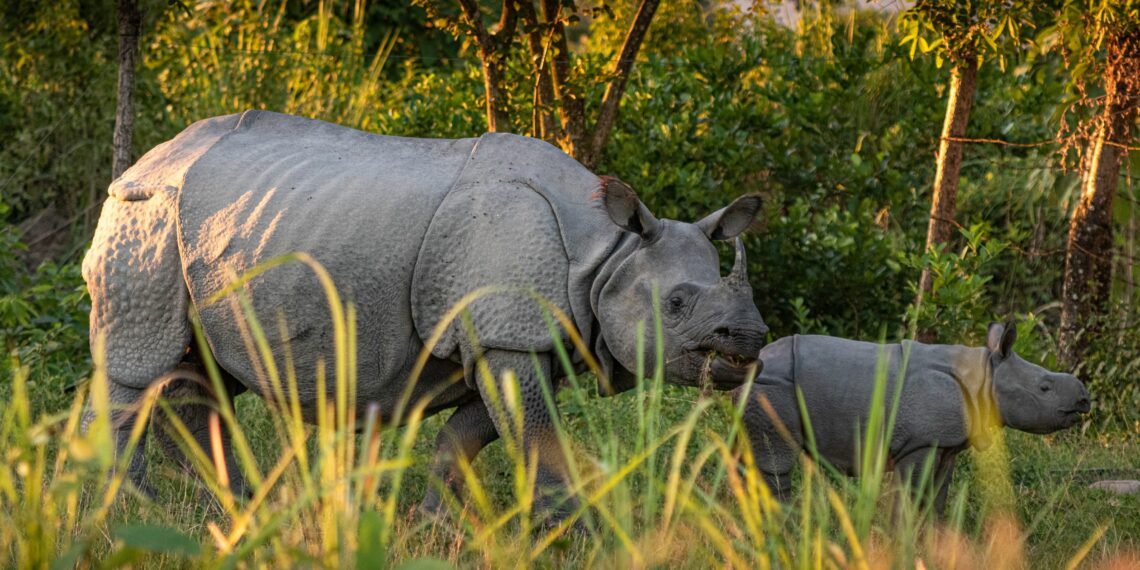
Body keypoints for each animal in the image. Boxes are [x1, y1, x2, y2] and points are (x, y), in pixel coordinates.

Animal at [83, 110, 768, 523]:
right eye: (675, 305)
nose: (751, 339)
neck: (606, 255)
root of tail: (143, 161)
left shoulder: (517, 340)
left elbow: (468, 434)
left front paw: (438, 522)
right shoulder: (507, 336)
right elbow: (536, 436)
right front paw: (569, 528)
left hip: (220, 230)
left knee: (199, 372)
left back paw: (241, 511)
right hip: (144, 216)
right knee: (137, 366)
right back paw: (124, 513)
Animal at [734, 323, 1090, 514]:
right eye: (1044, 388)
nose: (1084, 400)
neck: (985, 375)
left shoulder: (944, 444)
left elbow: (938, 496)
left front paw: (938, 540)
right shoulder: (919, 443)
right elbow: (911, 495)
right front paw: (902, 542)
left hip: (761, 386)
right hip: (773, 386)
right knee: (776, 462)